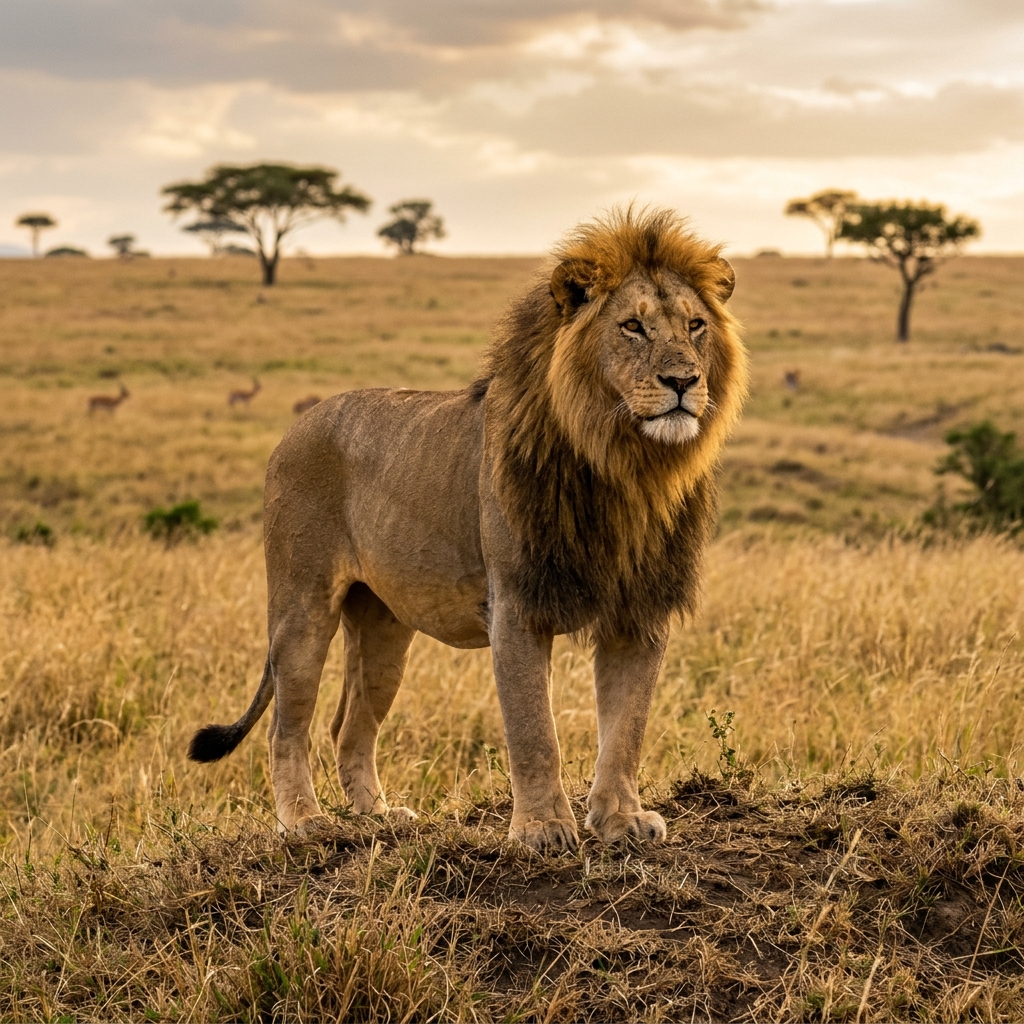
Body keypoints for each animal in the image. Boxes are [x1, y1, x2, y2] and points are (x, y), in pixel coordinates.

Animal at [188, 207, 748, 853]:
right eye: (633, 326)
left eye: (696, 326)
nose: (683, 381)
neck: (626, 467)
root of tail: (296, 426)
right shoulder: (517, 606)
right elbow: (534, 731)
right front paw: (543, 829)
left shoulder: (640, 611)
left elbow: (626, 728)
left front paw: (622, 819)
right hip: (302, 607)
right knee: (287, 724)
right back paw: (304, 823)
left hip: (382, 627)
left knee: (348, 724)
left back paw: (378, 818)